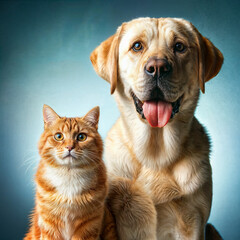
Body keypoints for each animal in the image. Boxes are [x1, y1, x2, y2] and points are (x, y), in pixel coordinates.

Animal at [24, 105, 117, 240]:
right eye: (59, 136)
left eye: (81, 137)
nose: (69, 147)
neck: (69, 175)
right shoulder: (49, 225)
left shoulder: (89, 225)